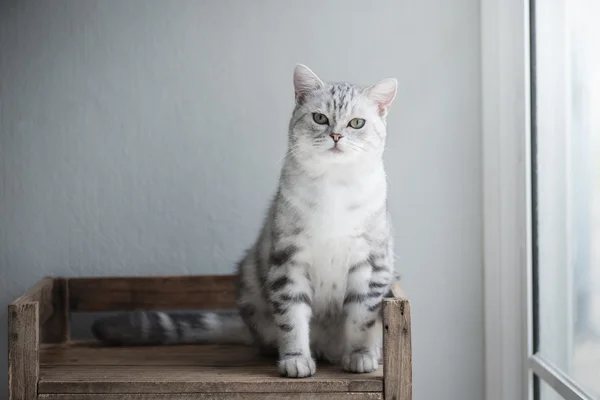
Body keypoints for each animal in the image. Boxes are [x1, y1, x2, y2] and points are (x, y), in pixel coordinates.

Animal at [91, 63, 396, 378]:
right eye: (320, 118)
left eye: (356, 123)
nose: (336, 136)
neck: (334, 188)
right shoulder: (288, 261)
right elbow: (292, 320)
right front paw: (295, 359)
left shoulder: (372, 263)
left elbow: (361, 318)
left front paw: (360, 355)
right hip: (251, 279)